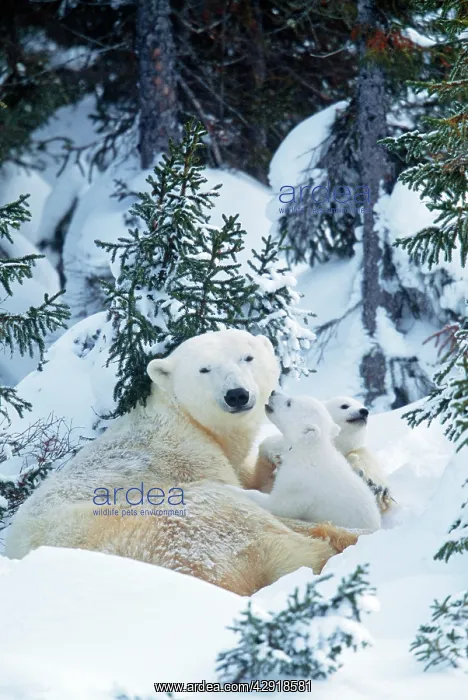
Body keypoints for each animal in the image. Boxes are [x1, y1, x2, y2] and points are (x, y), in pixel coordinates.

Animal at [6, 329, 357, 596]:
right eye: (204, 369)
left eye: (247, 357)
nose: (237, 394)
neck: (182, 416)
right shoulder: (188, 455)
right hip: (184, 523)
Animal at [231, 392, 382, 532]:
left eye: (289, 403)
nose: (273, 392)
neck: (308, 451)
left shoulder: (300, 486)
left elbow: (279, 505)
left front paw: (233, 489)